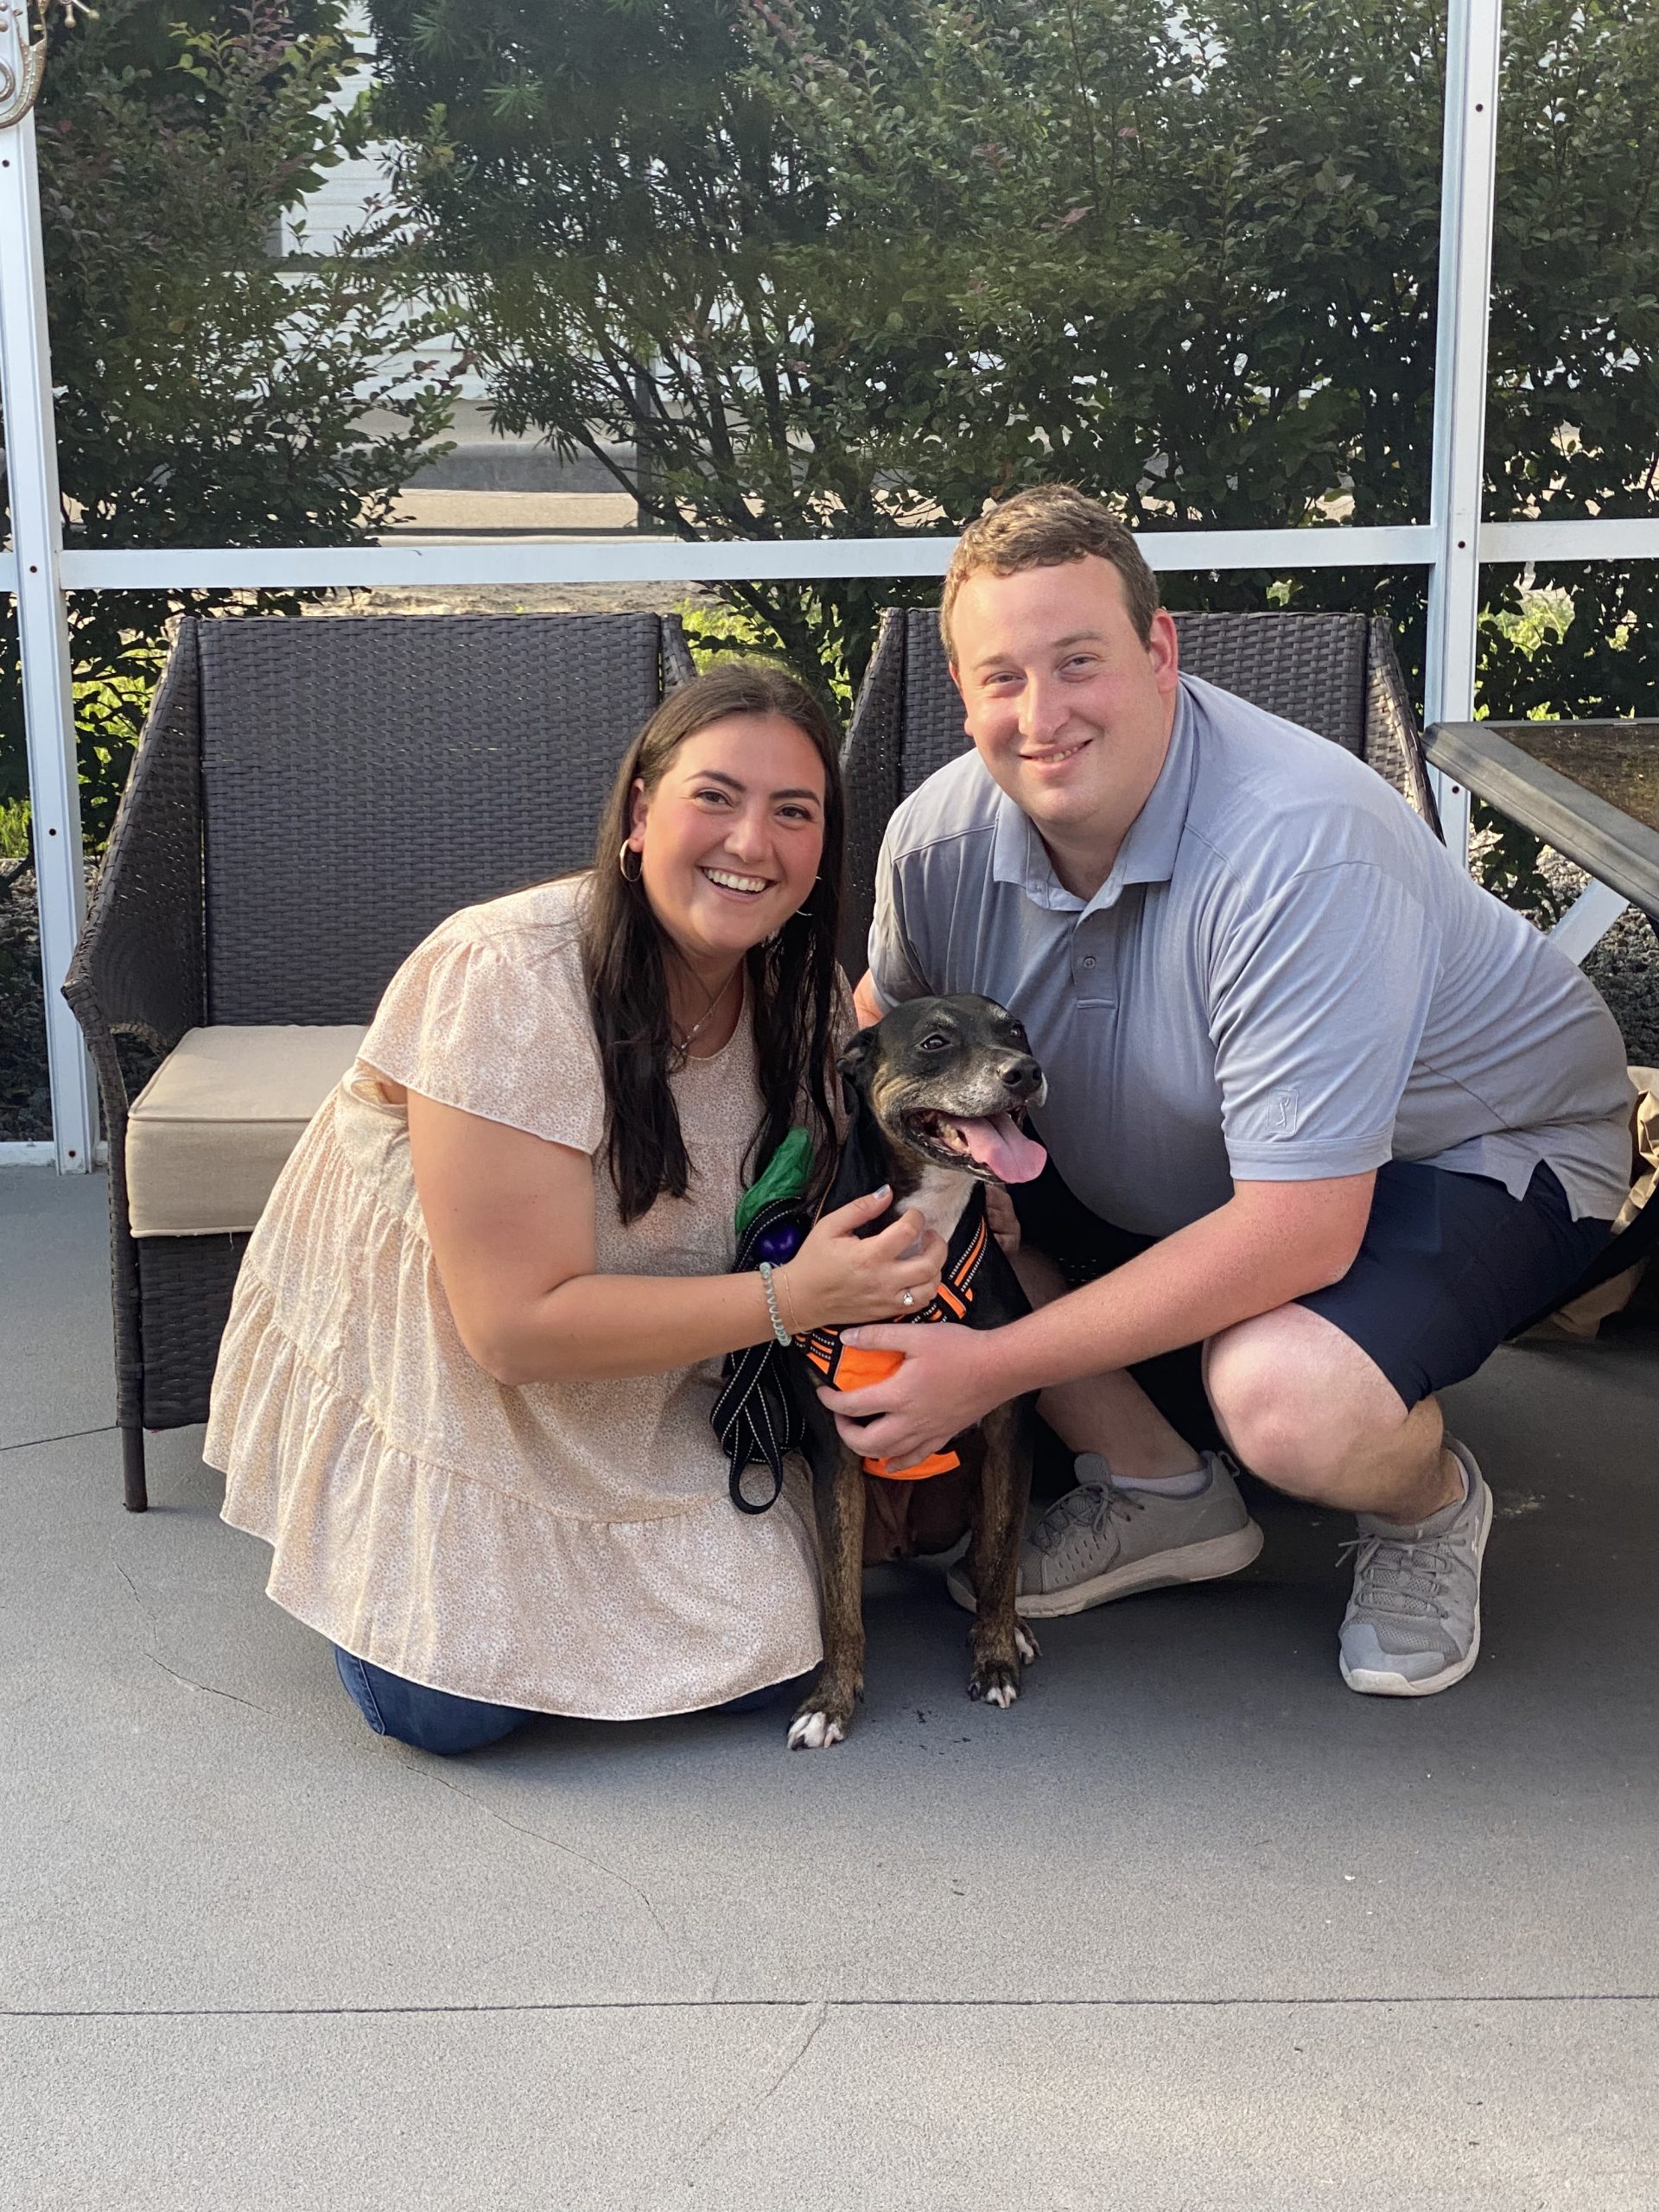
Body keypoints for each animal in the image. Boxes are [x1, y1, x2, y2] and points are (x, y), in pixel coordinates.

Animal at [787, 1000, 1044, 1743]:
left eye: (1015, 1030)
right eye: (935, 1042)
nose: (1026, 1071)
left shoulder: (1008, 1436)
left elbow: (1002, 1558)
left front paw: (995, 1656)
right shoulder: (835, 1457)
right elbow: (841, 1601)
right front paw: (830, 1699)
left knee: (985, 1555)